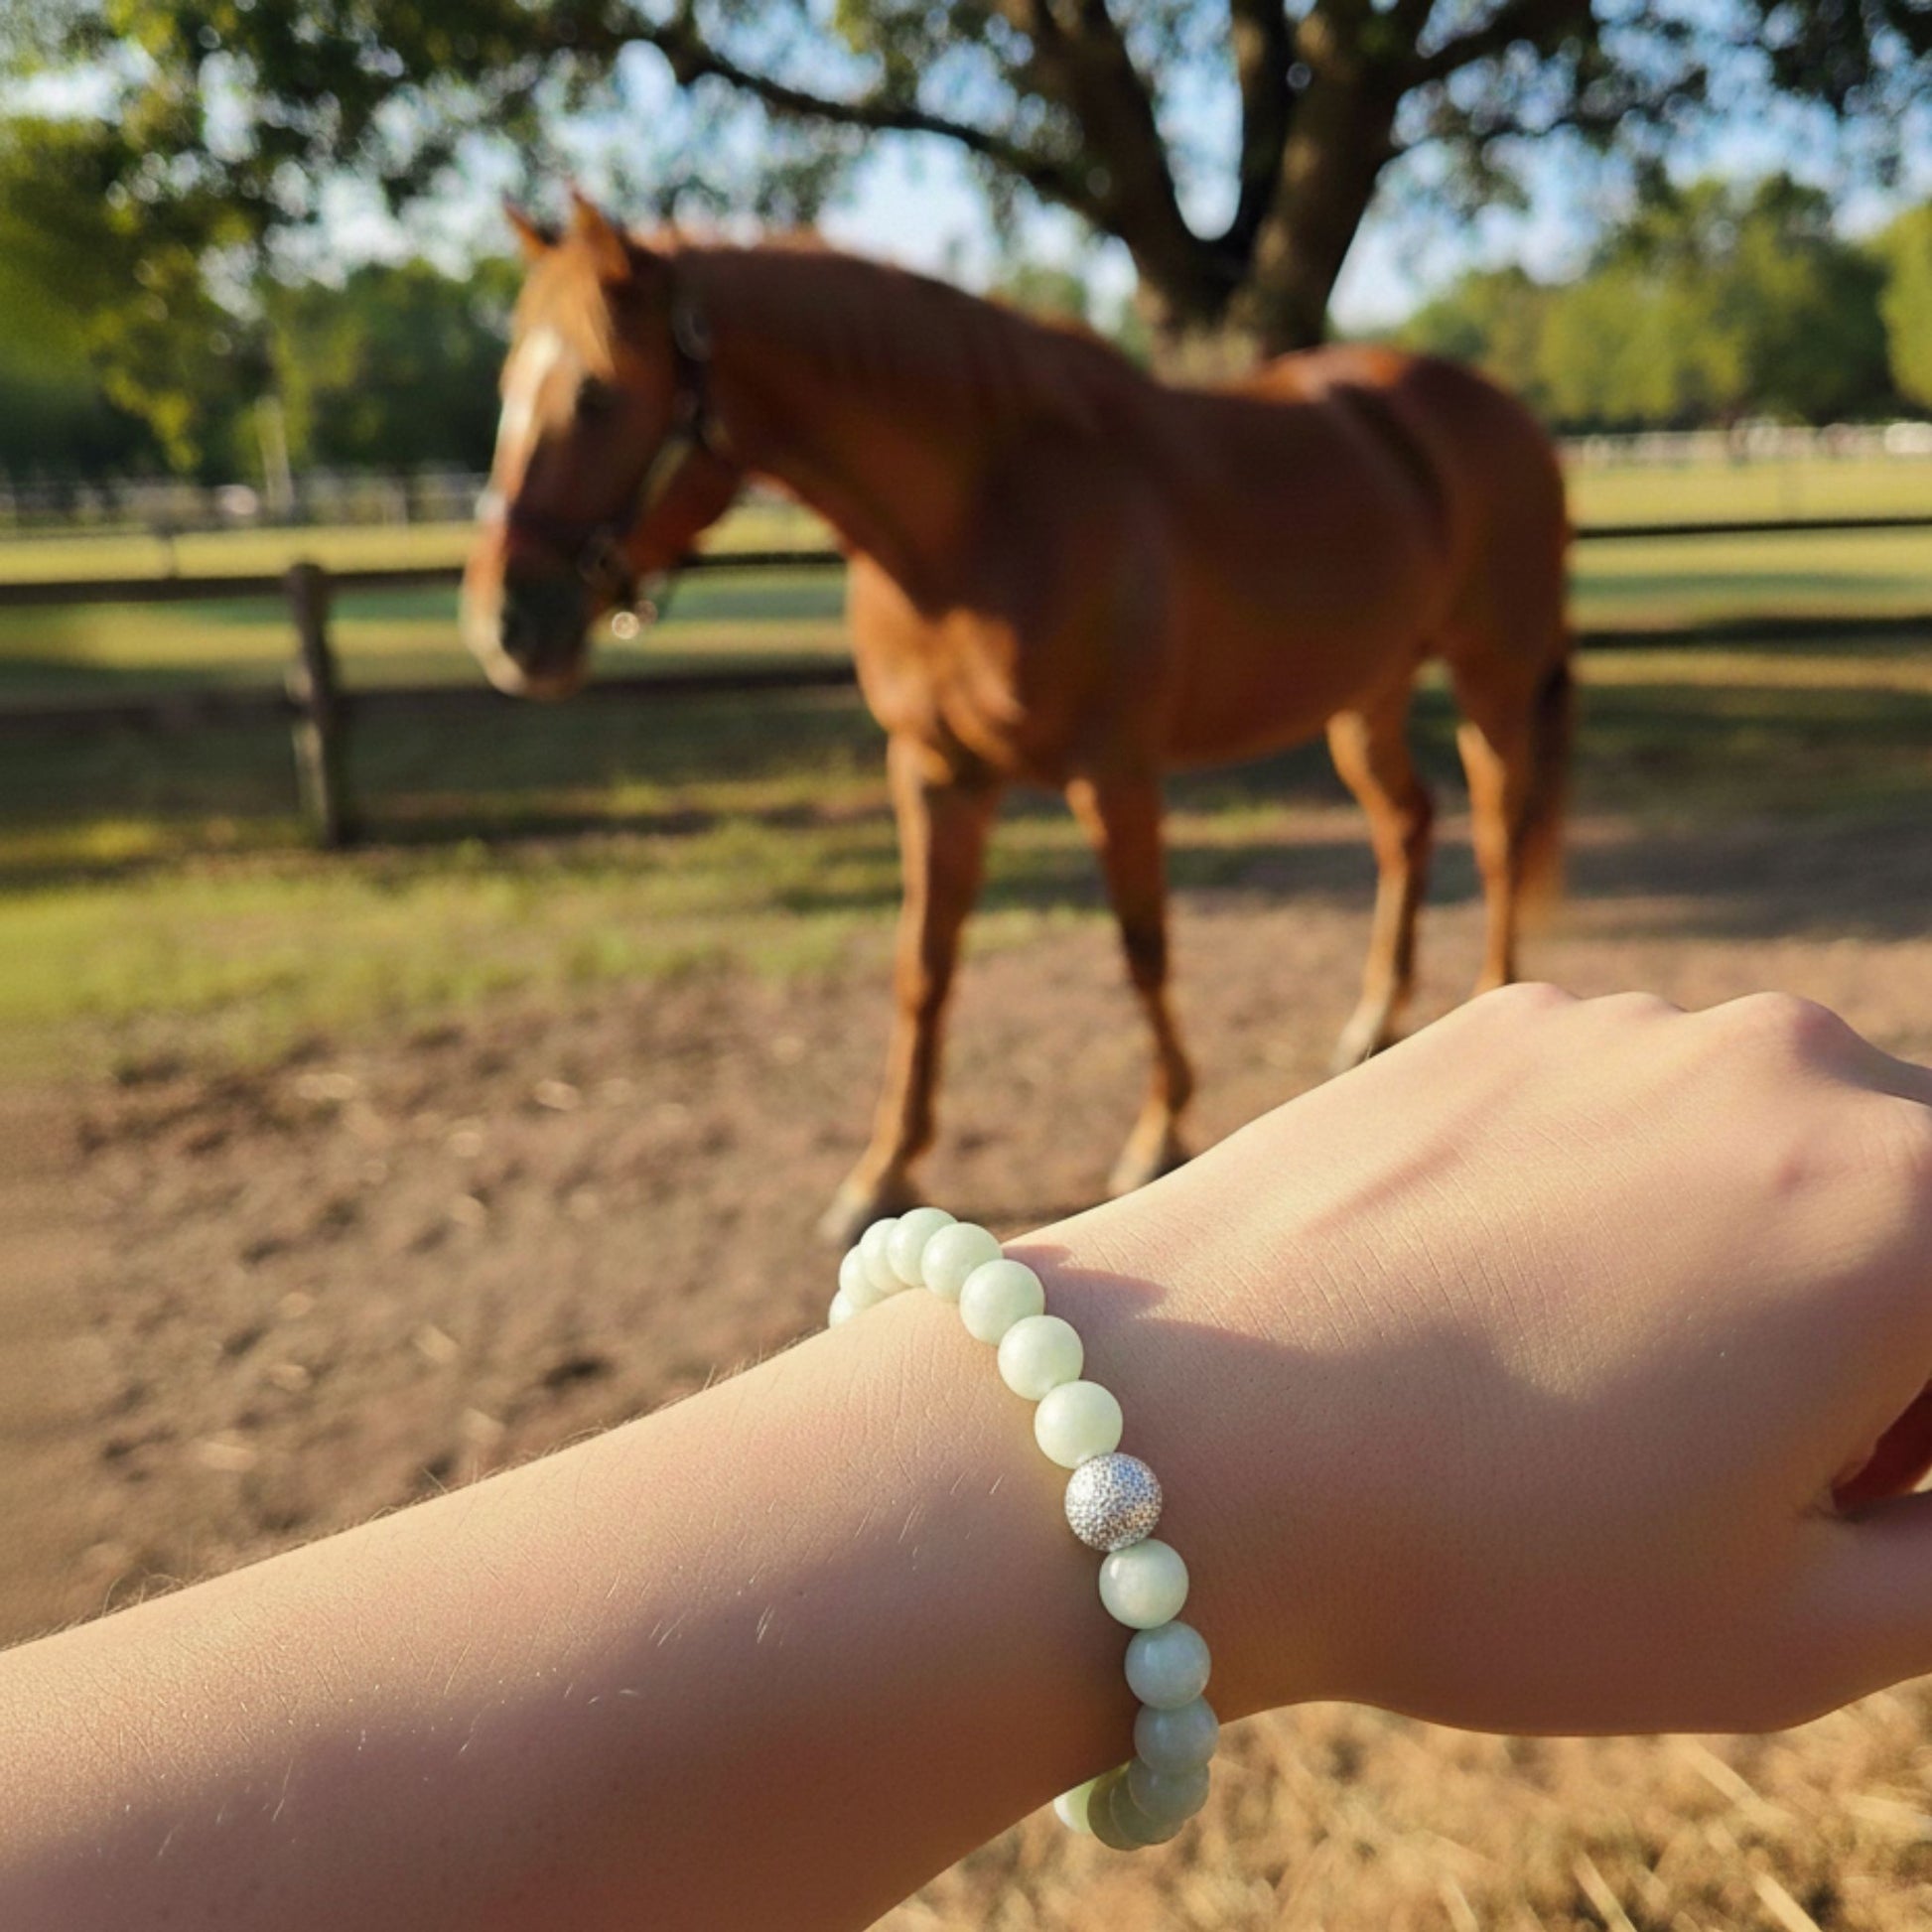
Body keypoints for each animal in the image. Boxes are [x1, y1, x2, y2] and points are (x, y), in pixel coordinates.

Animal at [462, 193, 1573, 1244]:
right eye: (506, 386)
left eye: (596, 392)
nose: (503, 624)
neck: (977, 520)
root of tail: (1502, 413)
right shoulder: (933, 771)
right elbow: (923, 964)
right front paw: (881, 1171)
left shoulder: (1113, 774)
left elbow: (1142, 947)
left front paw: (1158, 1131)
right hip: (1363, 698)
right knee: (1407, 825)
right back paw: (1373, 1024)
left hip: (1490, 679)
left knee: (1496, 829)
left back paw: (1488, 997)